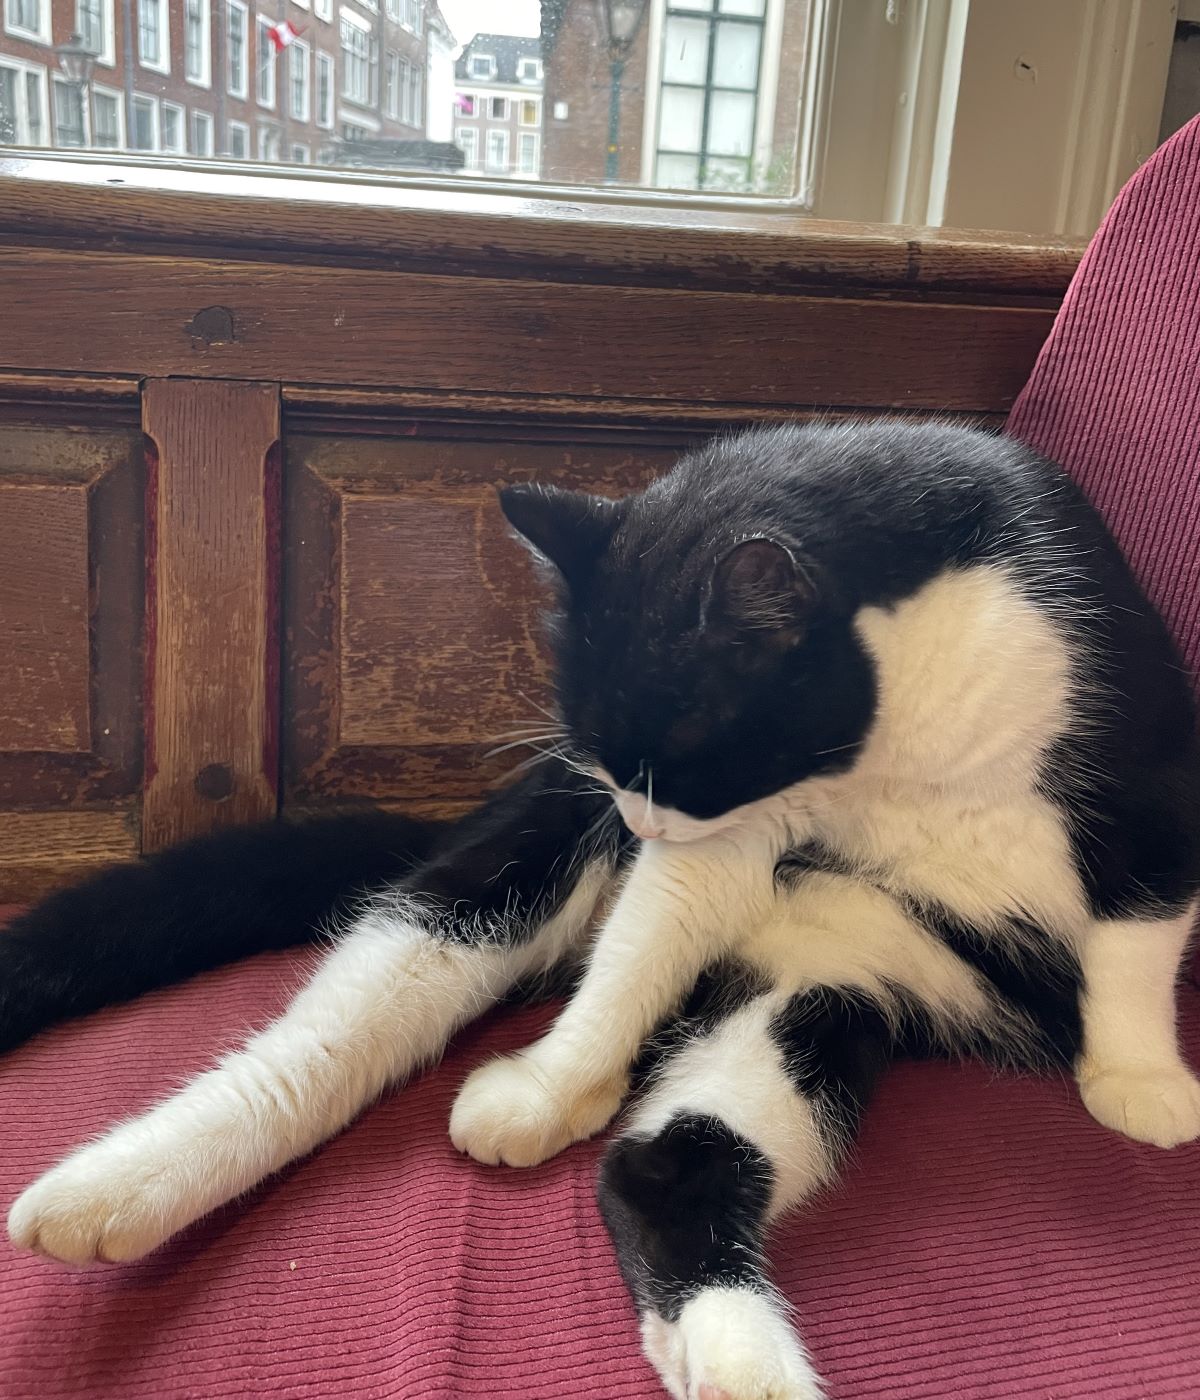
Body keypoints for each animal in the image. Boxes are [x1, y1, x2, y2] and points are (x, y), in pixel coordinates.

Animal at [2, 417, 1198, 1400]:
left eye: (680, 761)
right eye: (607, 753)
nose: (630, 819)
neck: (896, 748)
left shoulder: (1143, 765)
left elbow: (1140, 931)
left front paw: (1139, 1075)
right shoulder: (732, 828)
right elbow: (656, 926)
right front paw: (552, 1079)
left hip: (840, 970)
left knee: (663, 1163)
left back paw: (741, 1368)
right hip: (518, 868)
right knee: (336, 1033)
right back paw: (105, 1192)